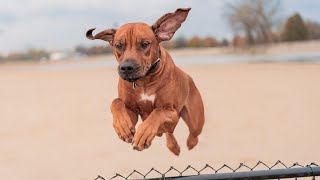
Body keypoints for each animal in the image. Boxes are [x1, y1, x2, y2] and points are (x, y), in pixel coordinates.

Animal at [85, 7, 205, 155]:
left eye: (144, 44)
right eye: (119, 45)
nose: (126, 68)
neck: (144, 81)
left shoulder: (173, 114)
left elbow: (158, 111)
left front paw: (143, 133)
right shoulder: (131, 111)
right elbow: (116, 102)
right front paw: (122, 126)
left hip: (195, 120)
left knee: (193, 132)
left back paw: (190, 143)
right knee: (169, 133)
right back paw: (173, 146)